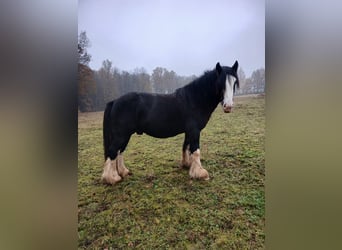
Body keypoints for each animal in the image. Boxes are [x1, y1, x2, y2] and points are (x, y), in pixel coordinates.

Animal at [101, 61, 239, 185]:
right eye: (220, 82)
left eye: (234, 82)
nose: (228, 106)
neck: (195, 99)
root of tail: (115, 101)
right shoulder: (194, 130)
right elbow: (195, 150)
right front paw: (200, 173)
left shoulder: (189, 131)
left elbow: (186, 147)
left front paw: (187, 165)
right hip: (121, 135)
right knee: (113, 152)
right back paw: (112, 178)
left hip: (125, 135)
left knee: (119, 151)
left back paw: (123, 172)